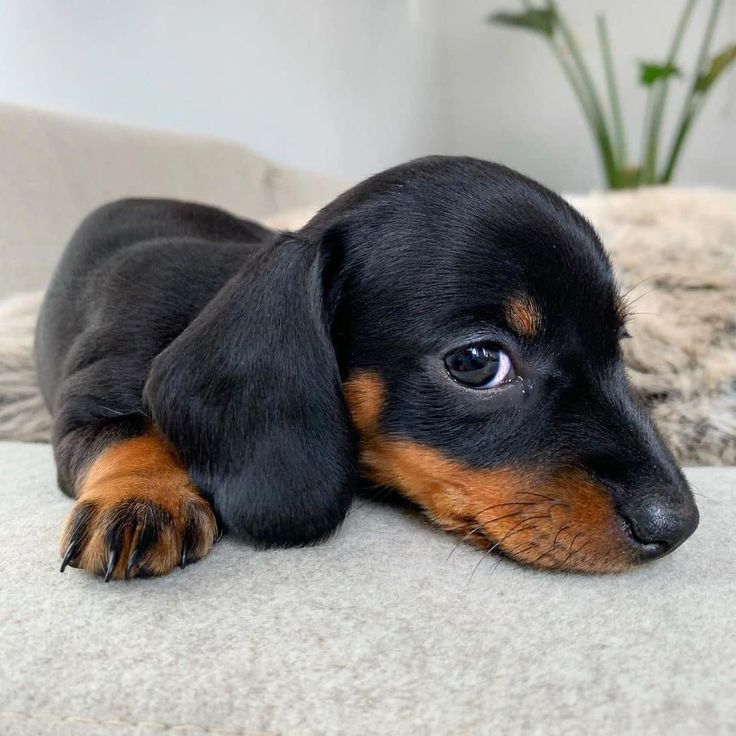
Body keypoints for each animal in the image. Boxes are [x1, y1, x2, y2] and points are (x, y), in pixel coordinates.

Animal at [36, 157, 700, 580]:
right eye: (477, 362)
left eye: (620, 339)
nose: (679, 524)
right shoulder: (83, 405)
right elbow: (129, 432)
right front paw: (141, 497)